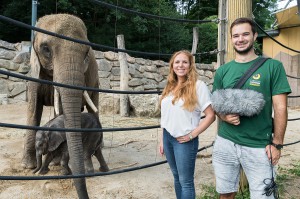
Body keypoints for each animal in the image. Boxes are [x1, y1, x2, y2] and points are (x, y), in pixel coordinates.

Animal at [22, 13, 99, 198]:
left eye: (86, 53)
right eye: (45, 49)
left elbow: (62, 110)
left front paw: (55, 161)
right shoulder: (34, 74)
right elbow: (33, 109)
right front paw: (27, 166)